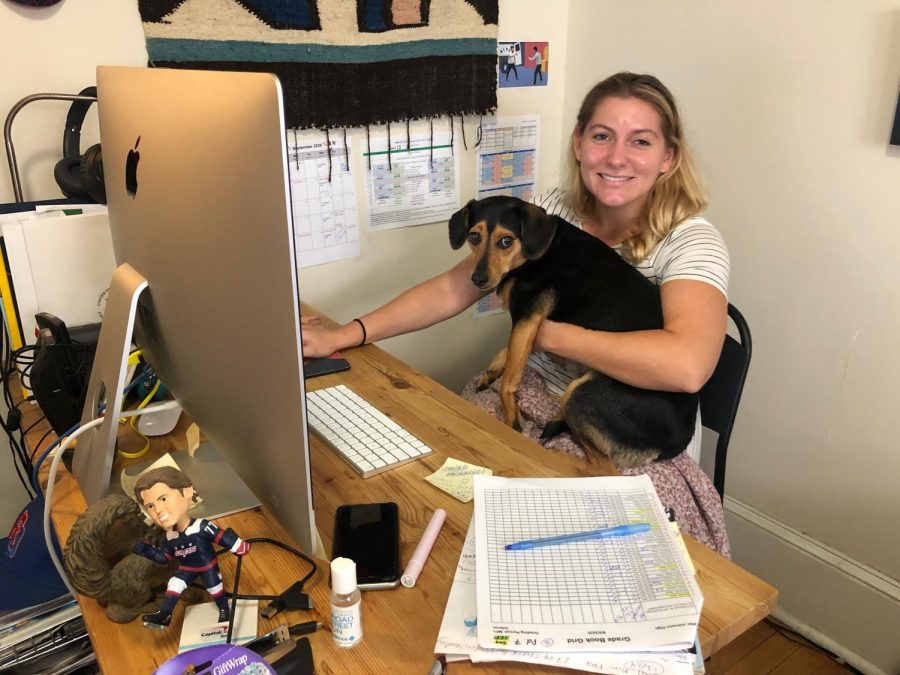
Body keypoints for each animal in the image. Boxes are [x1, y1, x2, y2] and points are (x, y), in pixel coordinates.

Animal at [450, 195, 696, 470]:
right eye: (474, 237)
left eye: (506, 241)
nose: (478, 279)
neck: (537, 254)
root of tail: (677, 442)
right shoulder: (527, 325)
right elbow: (509, 352)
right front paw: (493, 371)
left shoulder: (527, 316)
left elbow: (508, 382)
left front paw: (511, 419)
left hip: (584, 394)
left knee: (601, 467)